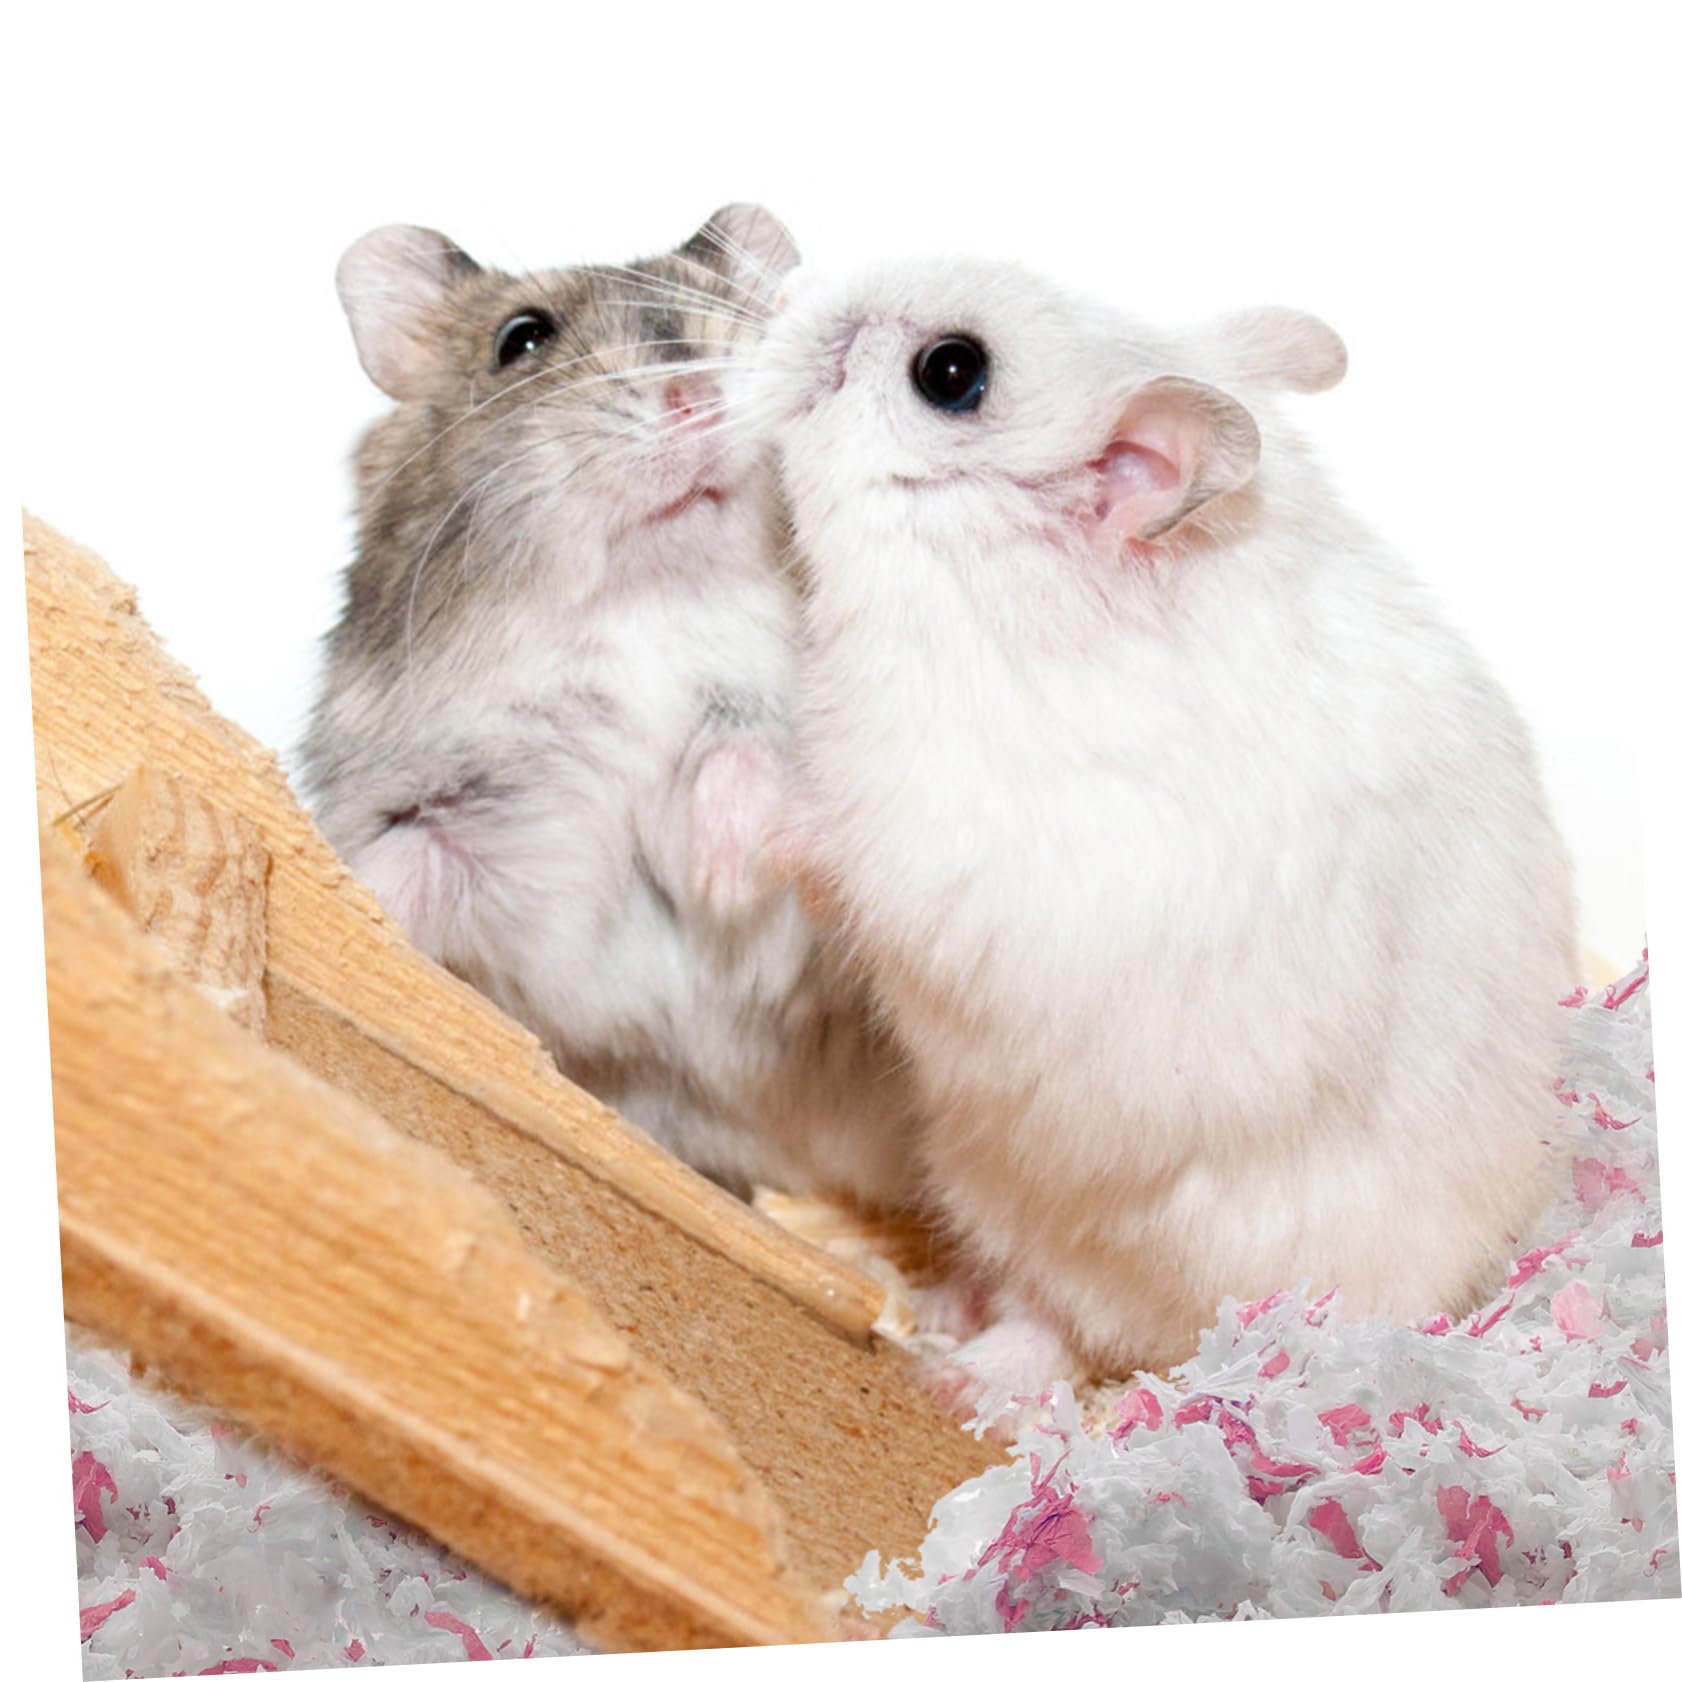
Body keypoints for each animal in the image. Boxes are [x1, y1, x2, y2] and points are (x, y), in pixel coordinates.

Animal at [300, 206, 916, 1208]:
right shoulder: (446, 804)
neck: (646, 611)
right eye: (521, 339)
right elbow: (401, 867)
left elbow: (751, 750)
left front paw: (720, 875)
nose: (698, 396)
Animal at [749, 259, 1579, 1393]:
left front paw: (727, 806)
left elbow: (828, 837)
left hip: (1091, 1231)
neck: (991, 588)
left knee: (1057, 1326)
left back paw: (959, 1372)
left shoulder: (945, 837)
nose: (786, 293)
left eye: (950, 373)